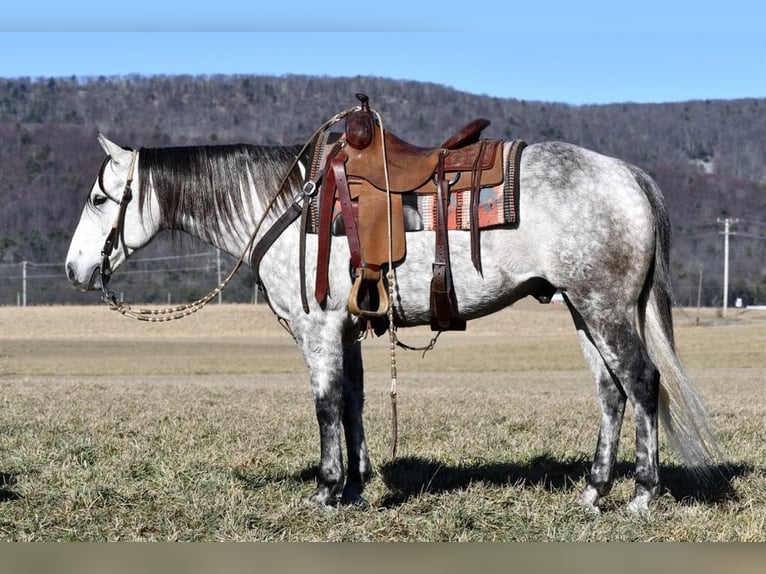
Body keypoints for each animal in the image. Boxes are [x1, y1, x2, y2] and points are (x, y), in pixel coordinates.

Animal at [64, 134, 720, 512]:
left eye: (98, 199)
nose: (75, 269)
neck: (289, 209)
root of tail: (626, 174)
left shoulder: (318, 329)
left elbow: (326, 404)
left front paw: (326, 491)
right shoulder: (347, 329)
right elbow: (353, 402)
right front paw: (355, 488)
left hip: (603, 306)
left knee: (642, 383)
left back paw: (641, 495)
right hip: (582, 310)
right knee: (611, 392)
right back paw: (593, 490)